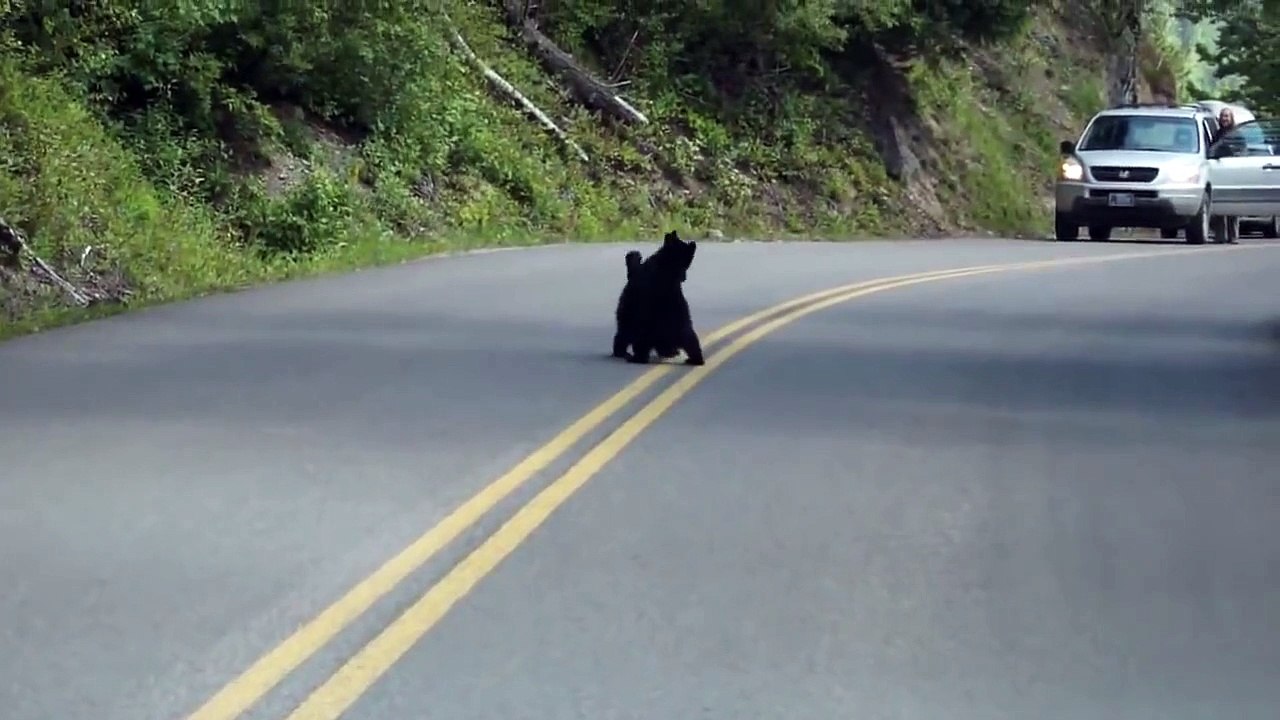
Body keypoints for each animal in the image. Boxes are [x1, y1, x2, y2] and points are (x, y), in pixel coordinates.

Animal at [611, 230, 705, 366]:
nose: (684, 277)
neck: (668, 267)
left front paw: (634, 255)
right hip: (680, 325)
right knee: (691, 341)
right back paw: (691, 358)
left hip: (643, 323)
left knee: (627, 333)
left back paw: (630, 355)